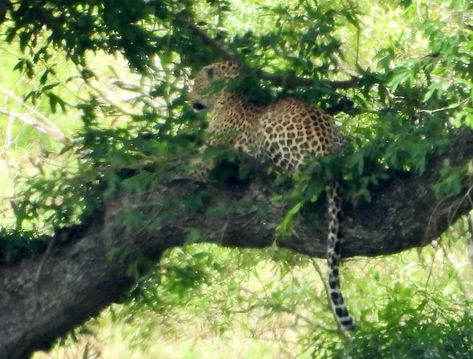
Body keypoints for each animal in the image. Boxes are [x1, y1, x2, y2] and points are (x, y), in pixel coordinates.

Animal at [188, 61, 354, 332]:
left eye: (196, 83)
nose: (189, 99)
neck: (231, 96)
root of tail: (328, 151)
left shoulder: (210, 156)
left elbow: (182, 166)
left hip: (271, 131)